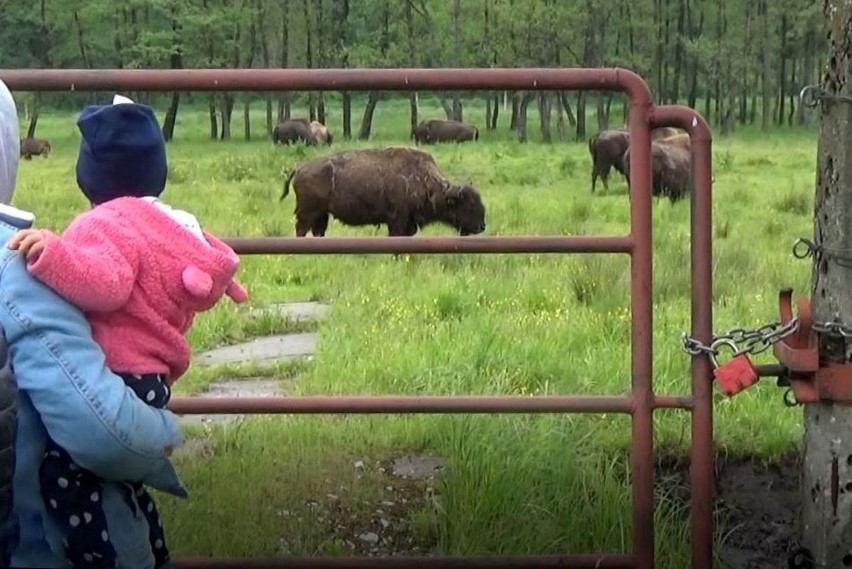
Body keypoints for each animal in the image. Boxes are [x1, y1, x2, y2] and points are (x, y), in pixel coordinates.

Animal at [280, 146, 486, 237]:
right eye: (469, 205)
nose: (482, 226)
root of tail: (300, 169)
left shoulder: (409, 224)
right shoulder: (397, 221)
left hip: (322, 214)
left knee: (317, 232)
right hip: (308, 212)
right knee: (301, 230)